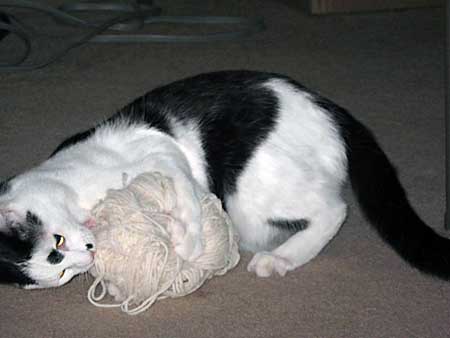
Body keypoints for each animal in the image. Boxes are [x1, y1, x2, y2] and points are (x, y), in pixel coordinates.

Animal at [0, 70, 450, 290]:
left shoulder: (162, 151)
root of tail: (332, 108)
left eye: (56, 248)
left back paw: (280, 259)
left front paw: (188, 245)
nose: (85, 258)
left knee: (334, 208)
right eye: (59, 273)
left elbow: (185, 192)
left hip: (247, 190)